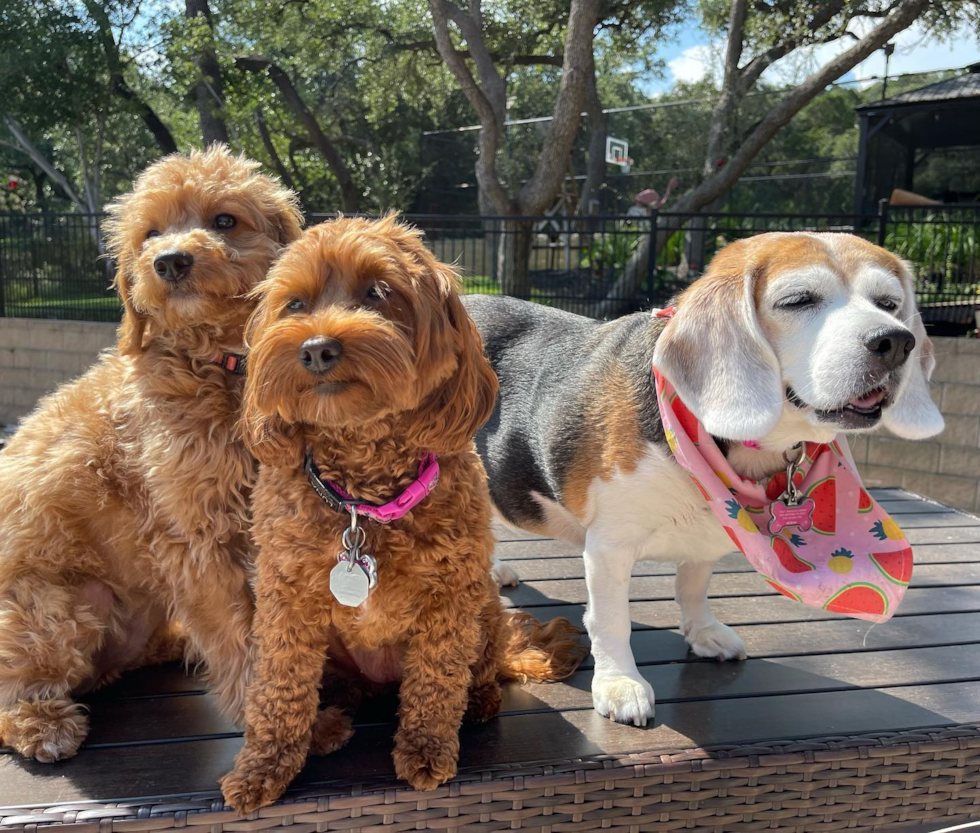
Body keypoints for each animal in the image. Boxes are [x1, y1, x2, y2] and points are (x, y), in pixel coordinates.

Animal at [0, 148, 302, 760]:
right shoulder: (196, 538)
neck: (219, 366)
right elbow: (239, 634)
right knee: (14, 688)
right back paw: (40, 721)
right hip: (59, 604)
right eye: (150, 233)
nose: (169, 261)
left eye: (225, 220)